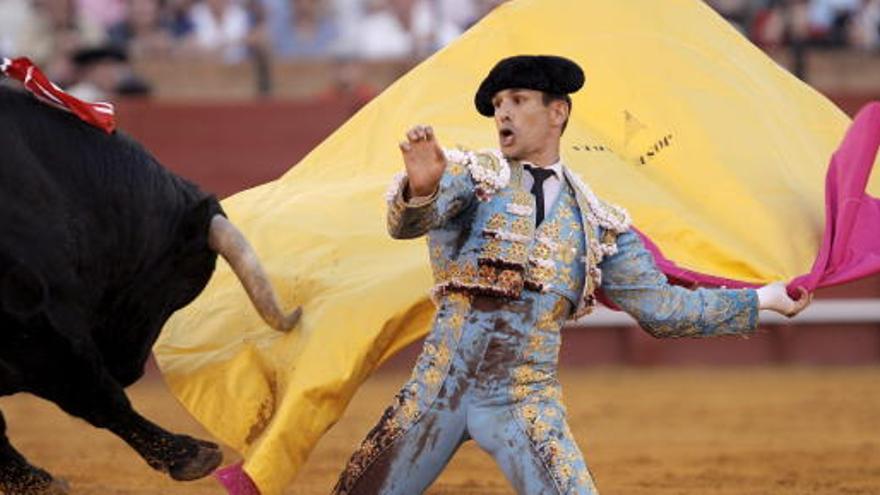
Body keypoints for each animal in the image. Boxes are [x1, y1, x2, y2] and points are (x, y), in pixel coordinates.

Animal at [0, 87, 300, 494]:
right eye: (184, 280)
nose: (130, 368)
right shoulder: (36, 320)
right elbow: (97, 394)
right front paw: (191, 455)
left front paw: (33, 481)